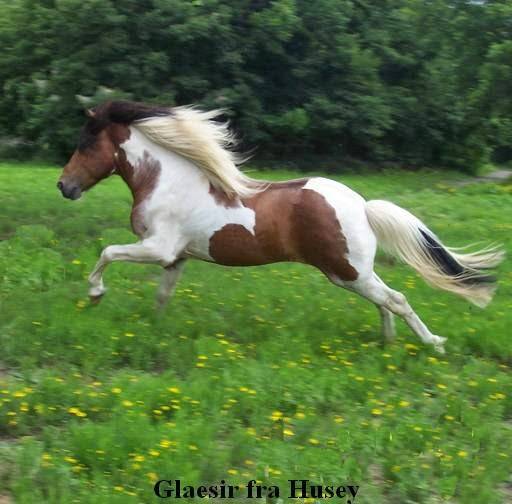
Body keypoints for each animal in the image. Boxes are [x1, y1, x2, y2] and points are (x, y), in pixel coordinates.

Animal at [58, 101, 502, 354]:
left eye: (85, 143)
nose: (65, 186)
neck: (166, 180)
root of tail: (361, 205)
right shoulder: (175, 258)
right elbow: (162, 296)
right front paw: (154, 329)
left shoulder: (158, 247)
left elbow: (106, 253)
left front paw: (96, 294)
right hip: (356, 272)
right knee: (386, 300)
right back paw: (388, 344)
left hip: (346, 272)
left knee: (397, 298)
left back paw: (432, 344)